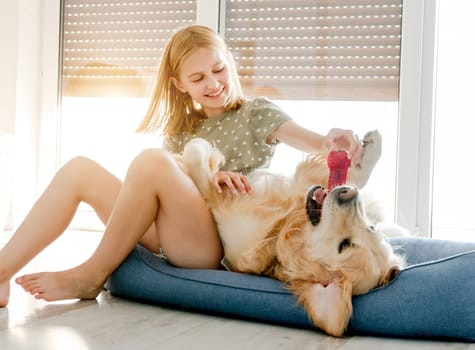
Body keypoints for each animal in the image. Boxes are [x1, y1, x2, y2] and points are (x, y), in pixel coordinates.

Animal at [181, 131, 406, 336]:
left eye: (344, 245)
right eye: (370, 229)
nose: (348, 195)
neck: (282, 229)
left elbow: (194, 153)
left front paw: (201, 151)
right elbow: (354, 176)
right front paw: (369, 147)